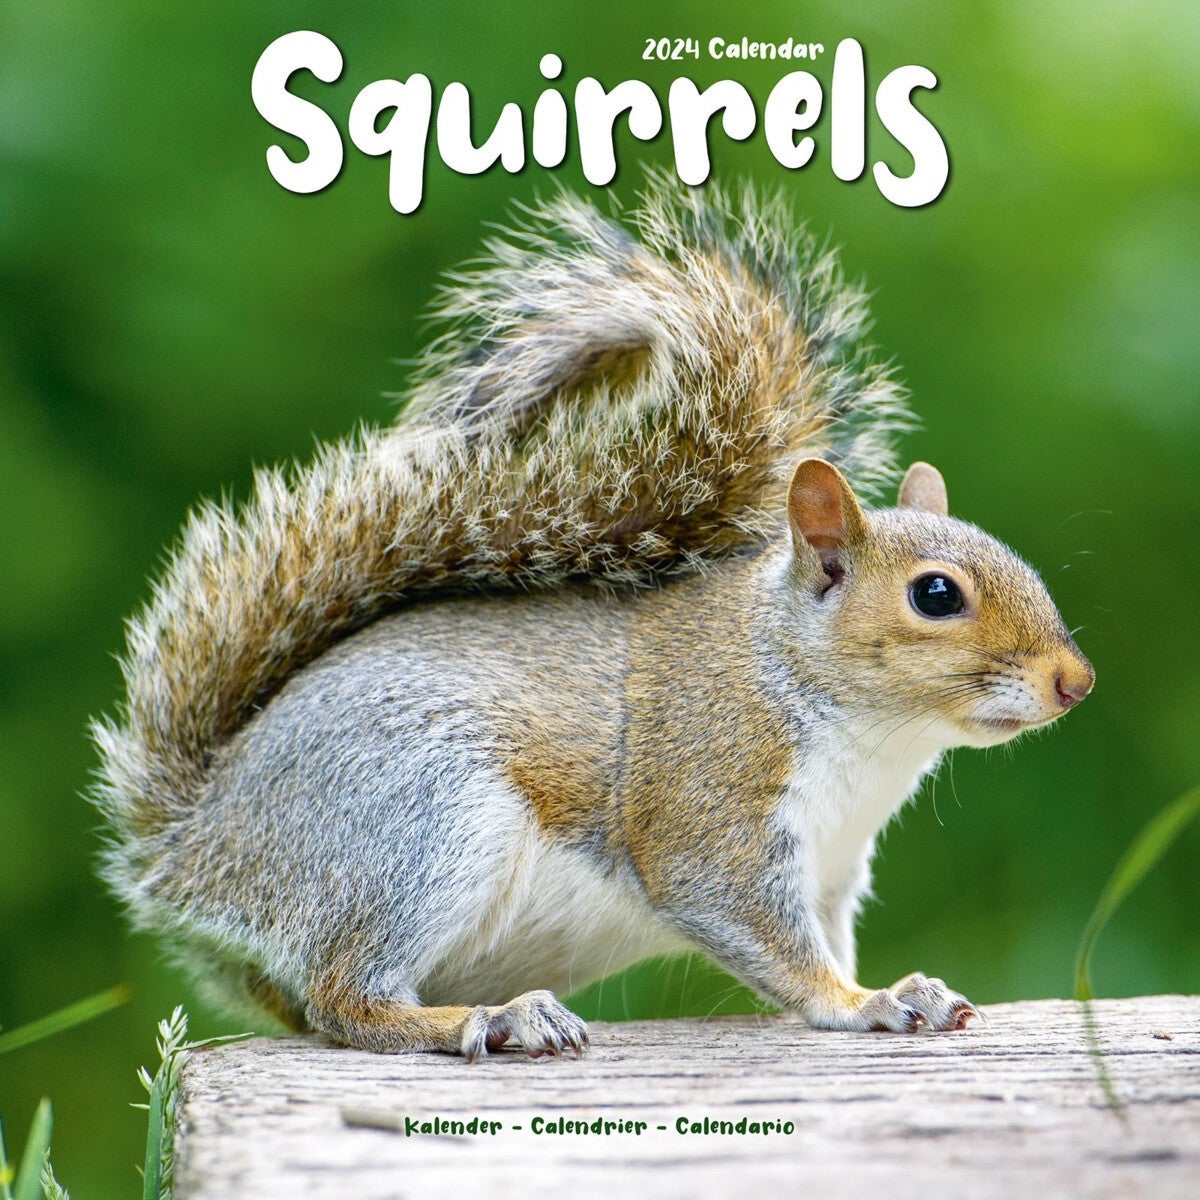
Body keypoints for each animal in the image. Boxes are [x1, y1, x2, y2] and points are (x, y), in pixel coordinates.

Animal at [90, 176, 1094, 1060]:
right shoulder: (713, 802)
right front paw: (864, 1003)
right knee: (345, 1000)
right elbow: (762, 933)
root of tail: (199, 846)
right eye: (936, 595)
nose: (1075, 683)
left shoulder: (836, 868)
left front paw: (903, 988)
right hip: (421, 825)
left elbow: (826, 937)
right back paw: (488, 1021)